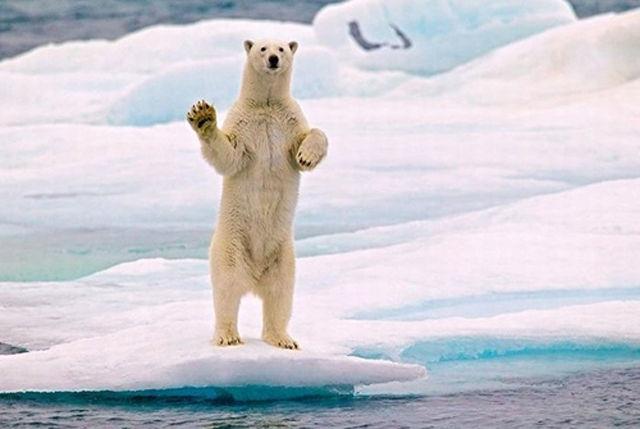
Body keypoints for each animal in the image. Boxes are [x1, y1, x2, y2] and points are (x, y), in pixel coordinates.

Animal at [184, 39, 324, 348]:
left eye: (282, 48)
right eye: (262, 48)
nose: (273, 59)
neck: (267, 105)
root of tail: (254, 277)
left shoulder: (290, 121)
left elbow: (311, 137)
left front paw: (307, 156)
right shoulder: (243, 124)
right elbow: (229, 156)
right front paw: (203, 117)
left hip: (283, 255)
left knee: (280, 295)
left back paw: (283, 339)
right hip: (231, 245)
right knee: (226, 290)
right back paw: (228, 336)